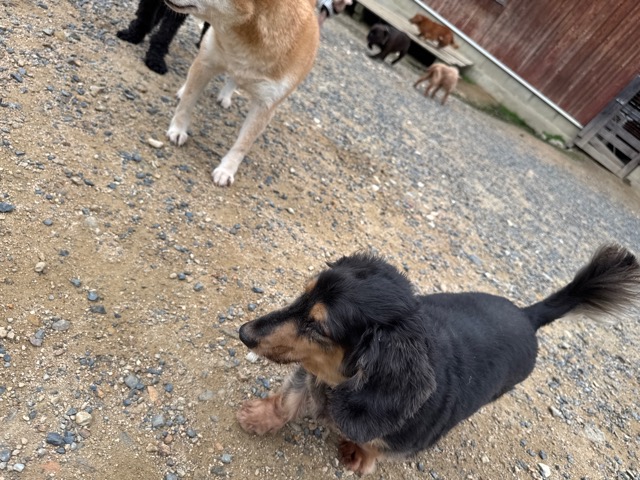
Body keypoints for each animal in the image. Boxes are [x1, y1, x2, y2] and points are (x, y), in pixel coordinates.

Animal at [164, 0, 319, 186]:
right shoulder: (206, 63)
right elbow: (186, 104)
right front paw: (178, 130)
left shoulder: (265, 105)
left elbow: (242, 145)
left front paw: (226, 170)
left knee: (234, 78)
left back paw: (225, 96)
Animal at [237, 244, 639, 474]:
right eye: (301, 296)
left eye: (316, 326)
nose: (244, 333)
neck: (342, 383)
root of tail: (528, 316)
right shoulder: (312, 374)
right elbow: (289, 398)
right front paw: (260, 417)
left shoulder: (404, 439)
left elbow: (374, 446)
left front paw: (358, 456)